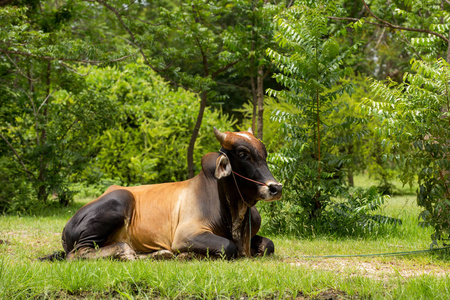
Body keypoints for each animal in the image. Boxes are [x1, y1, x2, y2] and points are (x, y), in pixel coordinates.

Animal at [42, 126, 282, 260]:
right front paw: (186, 255)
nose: (275, 188)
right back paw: (124, 251)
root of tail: (67, 226)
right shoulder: (187, 235)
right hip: (120, 199)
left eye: (264, 153)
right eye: (242, 154)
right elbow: (227, 246)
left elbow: (268, 245)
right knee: (77, 254)